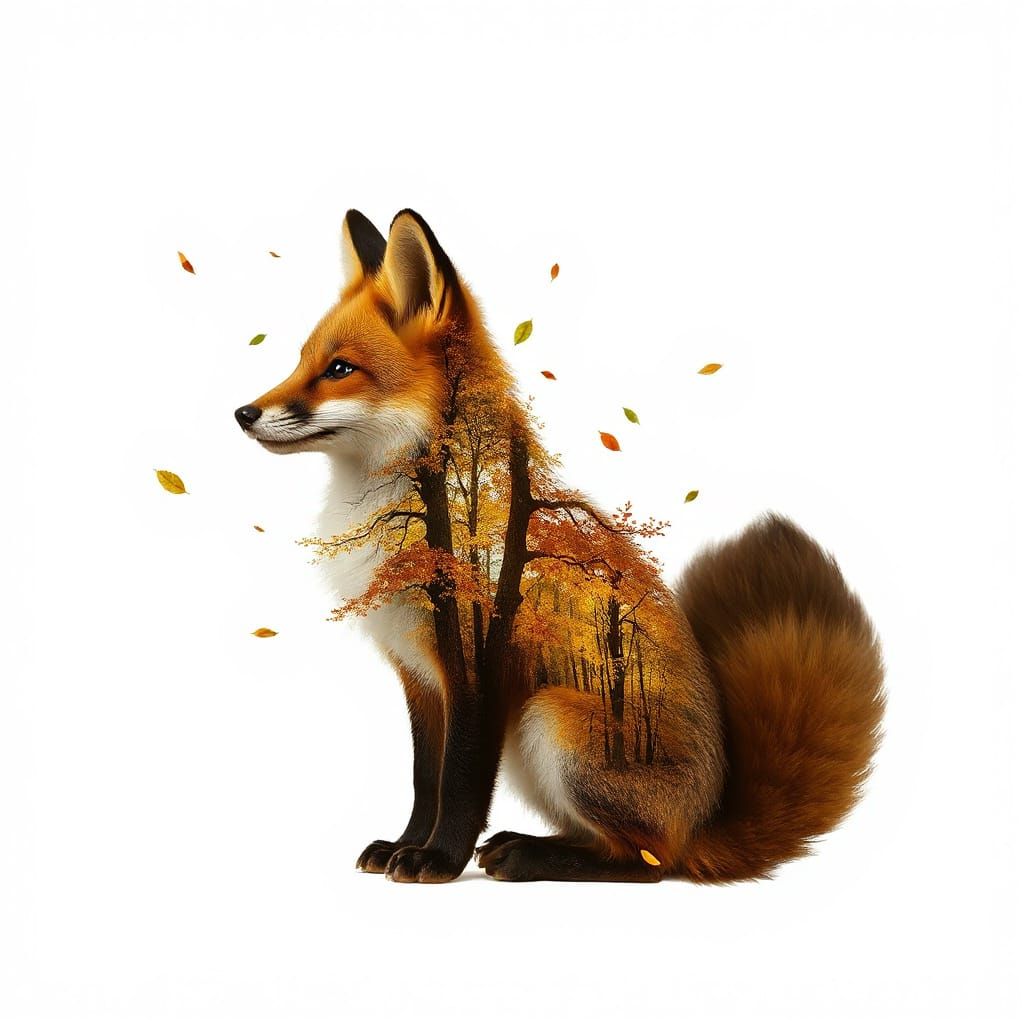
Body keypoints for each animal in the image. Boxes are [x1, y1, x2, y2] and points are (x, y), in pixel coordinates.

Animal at [234, 208, 885, 884]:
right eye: (300, 360)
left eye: (339, 369)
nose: (243, 413)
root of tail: (706, 819)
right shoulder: (418, 675)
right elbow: (424, 779)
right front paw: (405, 845)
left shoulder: (479, 667)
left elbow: (460, 781)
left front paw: (438, 858)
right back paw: (528, 843)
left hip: (551, 718)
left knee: (650, 862)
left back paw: (532, 856)